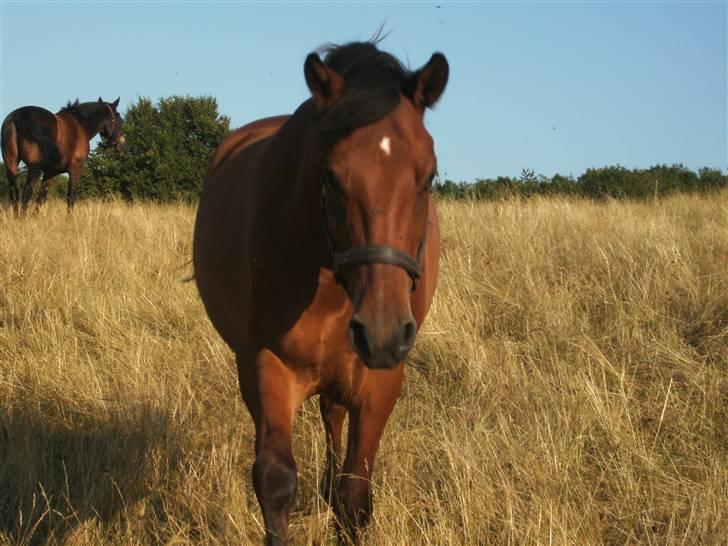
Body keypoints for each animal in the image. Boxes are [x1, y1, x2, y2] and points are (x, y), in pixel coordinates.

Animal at [191, 40, 446, 540]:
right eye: (331, 176)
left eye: (429, 176)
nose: (382, 332)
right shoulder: (269, 364)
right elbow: (274, 480)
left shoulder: (381, 380)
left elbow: (354, 496)